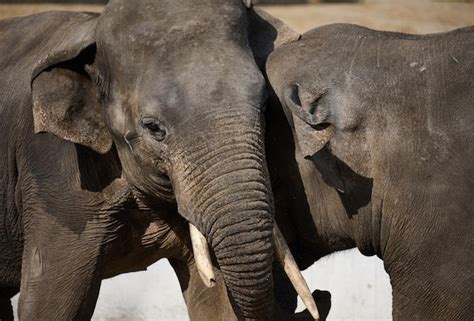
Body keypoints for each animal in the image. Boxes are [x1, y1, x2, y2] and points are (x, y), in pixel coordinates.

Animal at [0, 1, 320, 318]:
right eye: (154, 128)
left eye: (265, 105)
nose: (320, 294)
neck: (92, 32)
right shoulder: (57, 180)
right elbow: (49, 304)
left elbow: (215, 303)